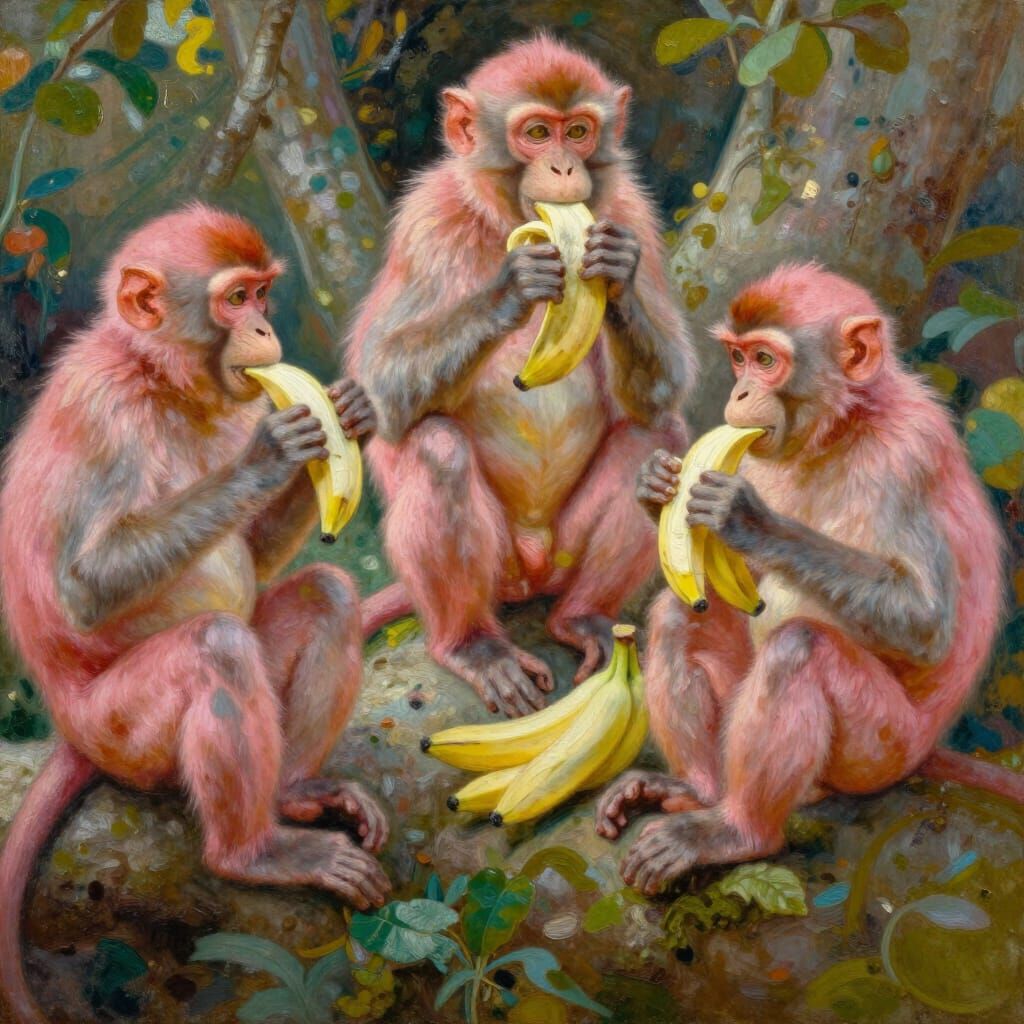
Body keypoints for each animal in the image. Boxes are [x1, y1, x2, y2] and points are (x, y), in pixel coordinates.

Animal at [0, 204, 403, 1024]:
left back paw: (291, 796)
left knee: (324, 596)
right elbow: (84, 587)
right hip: (119, 734)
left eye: (262, 293)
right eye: (235, 299)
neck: (160, 379)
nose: (265, 329)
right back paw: (250, 853)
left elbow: (254, 554)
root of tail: (70, 730)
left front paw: (348, 417)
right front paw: (267, 456)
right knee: (216, 646)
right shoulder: (104, 409)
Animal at [347, 35, 694, 718]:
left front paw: (615, 277)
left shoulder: (630, 212)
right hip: (498, 566)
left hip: (560, 556)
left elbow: (660, 392)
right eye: (537, 133)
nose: (563, 168)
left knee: (657, 436)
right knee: (436, 450)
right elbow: (384, 387)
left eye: (579, 131)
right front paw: (515, 286)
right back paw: (470, 644)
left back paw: (581, 615)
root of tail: (531, 568)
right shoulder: (429, 223)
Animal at [594, 263, 1023, 895]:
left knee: (800, 649)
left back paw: (741, 832)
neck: (845, 427)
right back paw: (698, 791)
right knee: (679, 616)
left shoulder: (908, 456)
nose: (740, 394)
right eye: (739, 359)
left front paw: (748, 521)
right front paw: (655, 490)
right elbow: (730, 585)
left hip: (883, 750)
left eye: (766, 360)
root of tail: (924, 752)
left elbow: (926, 625)